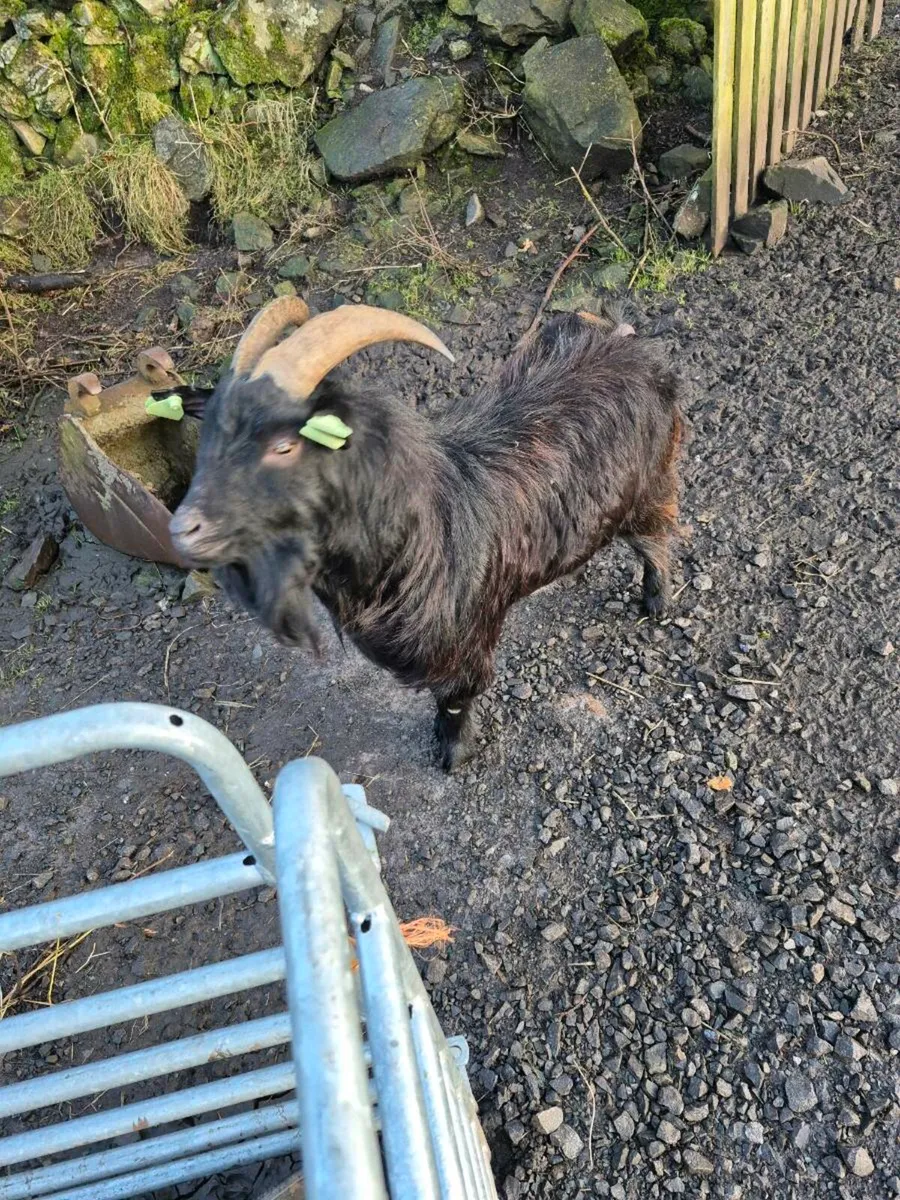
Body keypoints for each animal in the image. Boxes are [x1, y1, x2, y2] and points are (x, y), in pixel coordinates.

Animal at [170, 297, 683, 771]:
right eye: (209, 436)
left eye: (284, 446)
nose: (183, 529)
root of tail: (636, 347)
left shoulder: (466, 642)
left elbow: (455, 699)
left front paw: (453, 753)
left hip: (650, 486)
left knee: (658, 537)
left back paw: (656, 601)